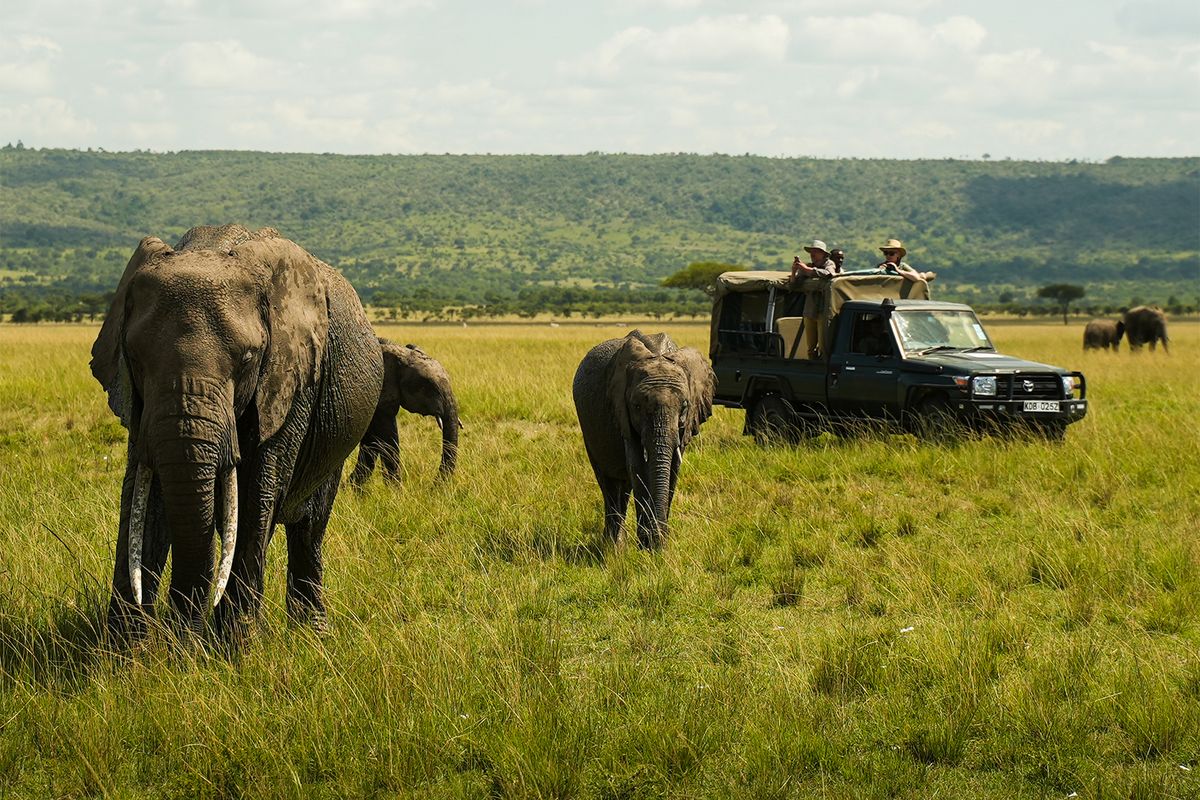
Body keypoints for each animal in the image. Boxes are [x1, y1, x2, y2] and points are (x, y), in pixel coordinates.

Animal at [90, 224, 383, 638]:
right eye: (135, 356)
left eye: (247, 359)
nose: (182, 631)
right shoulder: (138, 403)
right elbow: (143, 496)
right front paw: (126, 647)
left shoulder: (290, 382)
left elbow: (255, 495)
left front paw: (233, 644)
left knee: (310, 528)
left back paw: (312, 633)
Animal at [350, 339, 460, 485]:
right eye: (429, 386)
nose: (432, 487)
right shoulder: (379, 397)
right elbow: (387, 439)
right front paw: (394, 488)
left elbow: (371, 442)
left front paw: (354, 486)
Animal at [572, 330, 715, 549]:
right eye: (637, 407)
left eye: (684, 406)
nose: (659, 537)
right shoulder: (622, 412)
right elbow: (638, 467)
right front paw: (649, 544)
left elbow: (673, 469)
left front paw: (659, 544)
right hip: (588, 428)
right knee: (608, 483)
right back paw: (613, 546)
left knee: (623, 486)